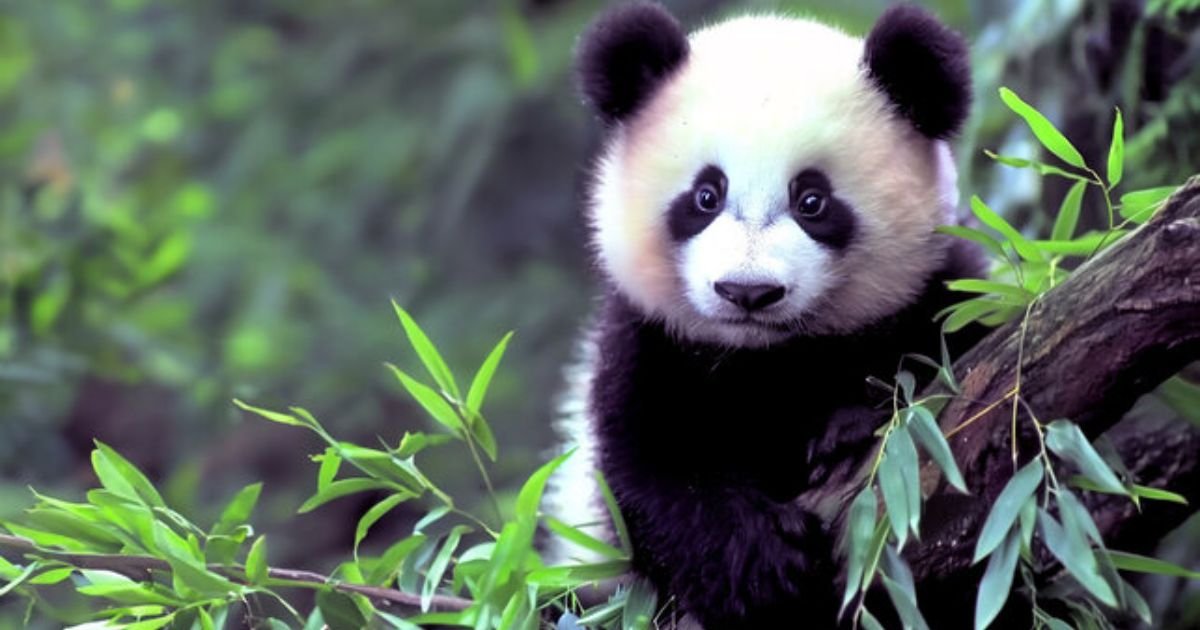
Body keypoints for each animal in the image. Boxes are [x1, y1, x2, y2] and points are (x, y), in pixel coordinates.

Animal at [544, 2, 986, 628]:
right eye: (706, 196)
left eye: (812, 200)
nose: (747, 292)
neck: (768, 356)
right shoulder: (647, 340)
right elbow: (649, 471)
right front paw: (756, 562)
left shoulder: (940, 292)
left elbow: (949, 372)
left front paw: (848, 427)